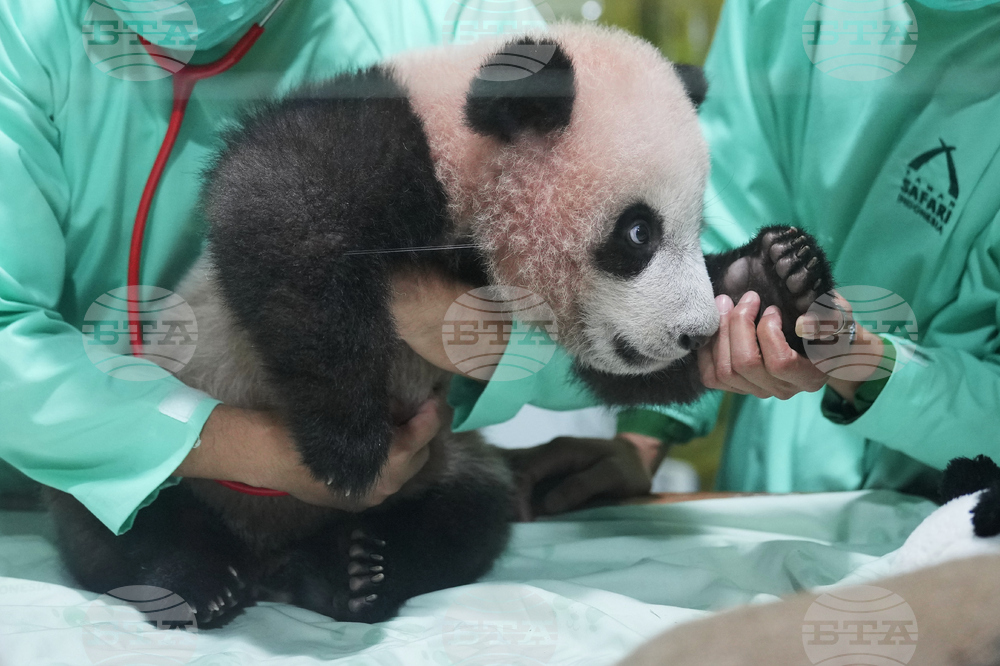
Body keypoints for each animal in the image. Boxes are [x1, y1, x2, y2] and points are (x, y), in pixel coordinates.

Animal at [47, 23, 833, 626]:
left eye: (693, 229)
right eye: (638, 233)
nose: (693, 334)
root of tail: (270, 547)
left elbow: (611, 372)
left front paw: (774, 276)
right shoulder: (387, 137)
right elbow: (279, 209)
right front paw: (348, 446)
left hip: (445, 462)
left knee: (470, 513)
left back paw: (351, 573)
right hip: (170, 417)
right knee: (112, 516)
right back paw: (196, 581)